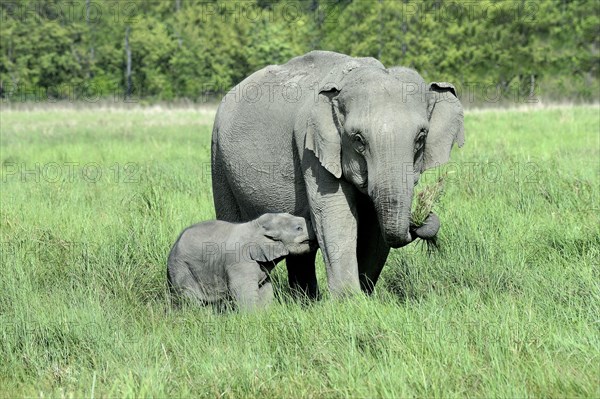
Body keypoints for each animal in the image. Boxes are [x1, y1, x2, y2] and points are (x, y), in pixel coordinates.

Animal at [164, 214, 314, 310]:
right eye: (299, 228)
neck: (256, 225)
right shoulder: (239, 261)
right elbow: (241, 289)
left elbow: (265, 288)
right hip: (181, 269)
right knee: (190, 299)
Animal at [211, 50, 464, 300]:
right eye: (358, 139)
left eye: (421, 138)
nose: (421, 219)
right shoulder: (312, 147)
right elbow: (334, 213)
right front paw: (349, 300)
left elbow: (374, 226)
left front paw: (364, 296)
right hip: (219, 161)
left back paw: (305, 301)